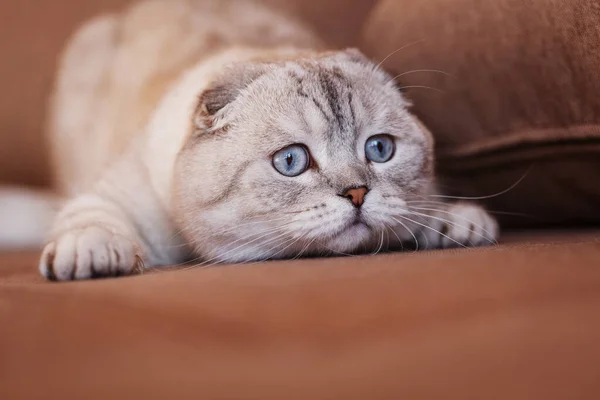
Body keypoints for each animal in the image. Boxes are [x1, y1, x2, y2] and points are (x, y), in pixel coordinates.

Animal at [3, 0, 496, 282]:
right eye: (292, 161)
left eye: (379, 149)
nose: (357, 193)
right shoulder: (114, 194)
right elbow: (91, 219)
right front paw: (93, 256)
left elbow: (428, 204)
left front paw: (455, 223)